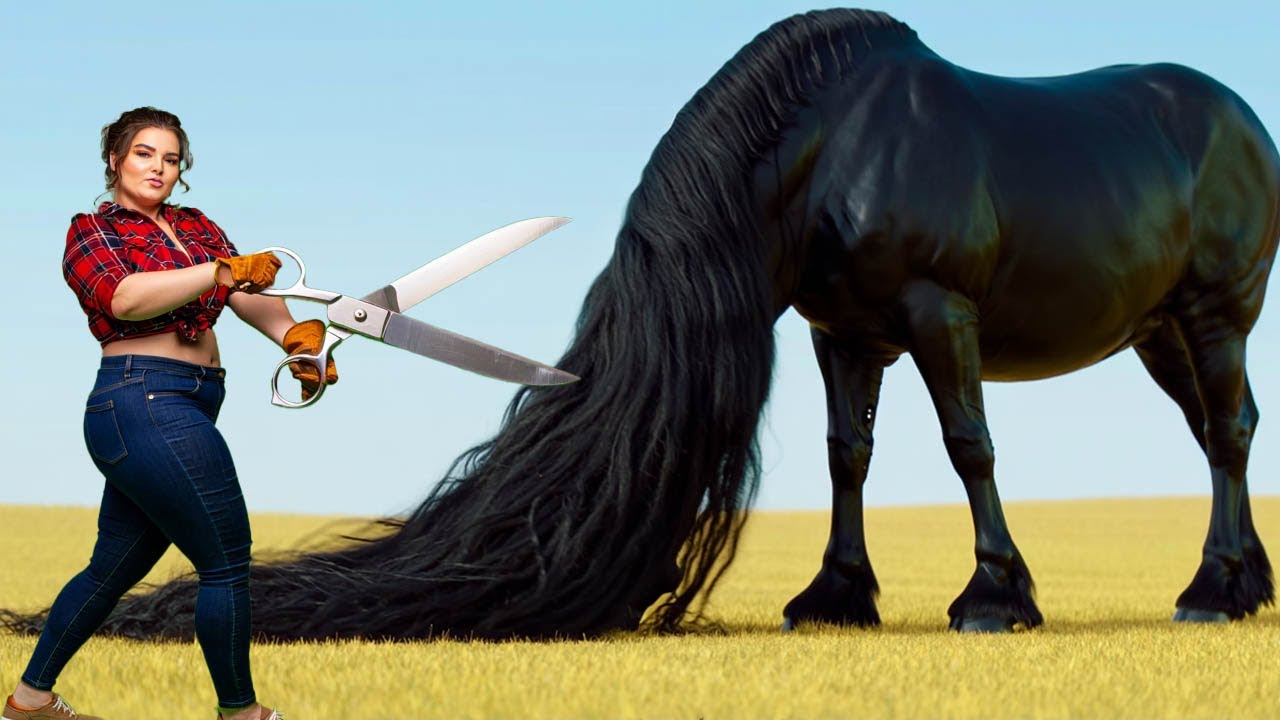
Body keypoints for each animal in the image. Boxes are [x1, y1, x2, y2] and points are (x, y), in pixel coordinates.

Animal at [4, 8, 1277, 639]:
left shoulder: (935, 316)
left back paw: (1212, 592)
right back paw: (1235, 583)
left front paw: (991, 600)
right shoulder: (845, 332)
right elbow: (848, 455)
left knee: (1223, 436)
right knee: (1224, 431)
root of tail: (1234, 112)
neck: (838, 144)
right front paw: (833, 600)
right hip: (1159, 332)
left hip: (1212, 314)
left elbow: (967, 448)